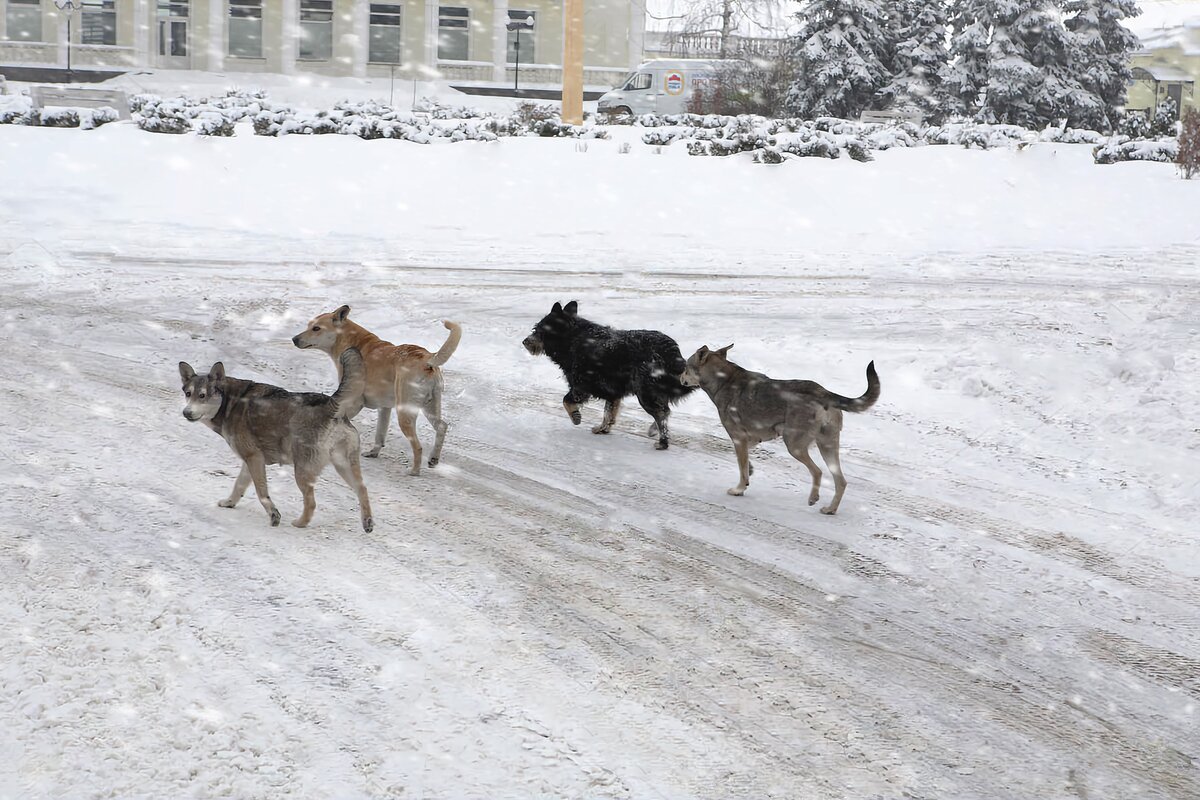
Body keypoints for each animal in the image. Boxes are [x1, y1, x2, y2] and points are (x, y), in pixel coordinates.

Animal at [177, 347, 372, 532]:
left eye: (202, 395)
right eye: (188, 393)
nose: (186, 413)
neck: (229, 402)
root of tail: (332, 405)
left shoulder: (254, 458)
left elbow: (261, 492)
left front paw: (274, 515)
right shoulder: (250, 460)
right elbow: (239, 485)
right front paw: (229, 503)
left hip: (302, 471)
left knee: (311, 502)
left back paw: (300, 523)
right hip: (343, 464)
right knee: (362, 488)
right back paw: (367, 522)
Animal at [292, 303, 460, 472]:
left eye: (316, 328)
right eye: (309, 325)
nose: (294, 339)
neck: (353, 342)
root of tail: (427, 359)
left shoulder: (354, 402)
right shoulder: (384, 408)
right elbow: (380, 433)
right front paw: (373, 452)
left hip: (405, 414)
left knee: (418, 447)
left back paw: (414, 471)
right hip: (430, 406)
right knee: (442, 426)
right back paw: (433, 459)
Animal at [520, 299, 700, 450]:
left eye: (539, 330)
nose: (525, 341)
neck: (571, 339)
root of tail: (671, 351)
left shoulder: (581, 385)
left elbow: (566, 401)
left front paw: (576, 417)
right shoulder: (612, 391)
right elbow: (609, 413)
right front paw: (603, 428)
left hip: (645, 391)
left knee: (661, 413)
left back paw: (662, 442)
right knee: (665, 411)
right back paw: (654, 431)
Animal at [686, 347, 883, 515]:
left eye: (686, 368)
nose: (680, 376)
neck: (723, 379)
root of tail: (824, 392)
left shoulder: (738, 438)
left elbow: (741, 466)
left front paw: (739, 489)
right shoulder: (751, 439)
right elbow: (745, 463)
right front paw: (749, 474)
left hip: (794, 445)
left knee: (817, 472)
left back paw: (813, 498)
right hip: (827, 445)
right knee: (841, 481)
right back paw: (830, 509)